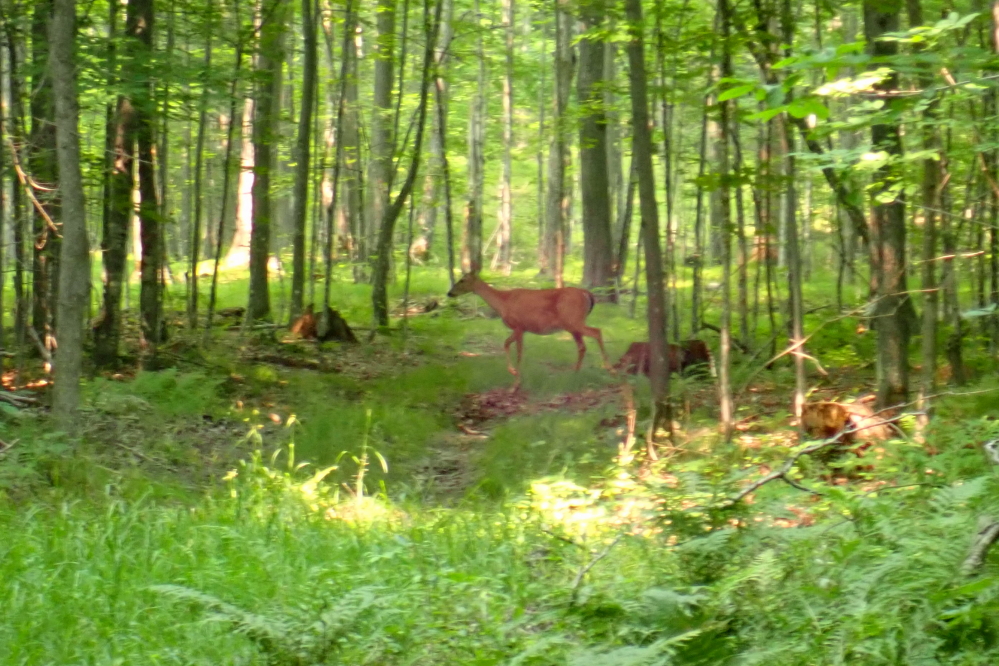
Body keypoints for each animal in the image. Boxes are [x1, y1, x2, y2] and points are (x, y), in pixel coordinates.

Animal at [446, 272, 609, 387]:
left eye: (462, 280)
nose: (449, 293)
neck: (503, 302)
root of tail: (587, 293)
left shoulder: (519, 326)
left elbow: (519, 353)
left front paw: (516, 383)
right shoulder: (520, 329)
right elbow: (506, 344)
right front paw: (513, 372)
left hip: (572, 321)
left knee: (597, 332)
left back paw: (608, 367)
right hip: (573, 324)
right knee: (582, 346)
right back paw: (575, 372)